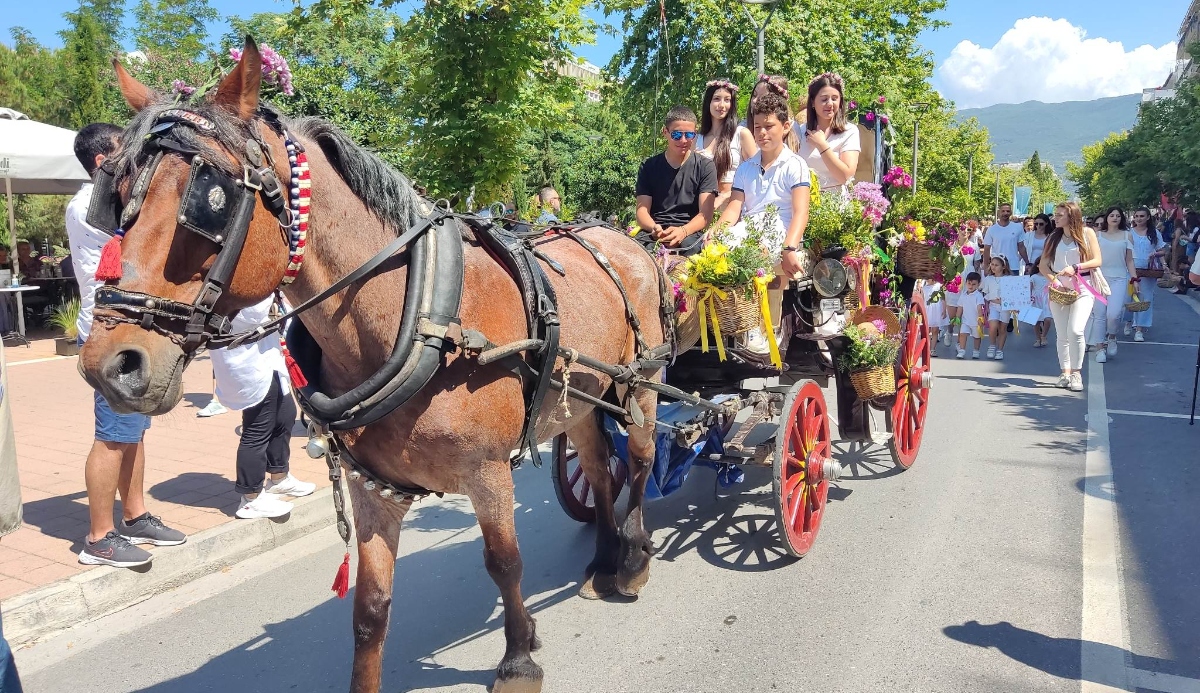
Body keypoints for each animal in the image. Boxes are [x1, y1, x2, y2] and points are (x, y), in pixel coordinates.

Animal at [79, 38, 667, 690]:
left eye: (207, 199)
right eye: (116, 198)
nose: (111, 365)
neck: (425, 319)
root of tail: (624, 239)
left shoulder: (488, 472)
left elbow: (504, 563)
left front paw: (518, 657)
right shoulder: (373, 488)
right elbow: (370, 609)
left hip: (642, 385)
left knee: (639, 463)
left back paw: (632, 559)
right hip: (579, 402)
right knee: (597, 466)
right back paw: (602, 561)